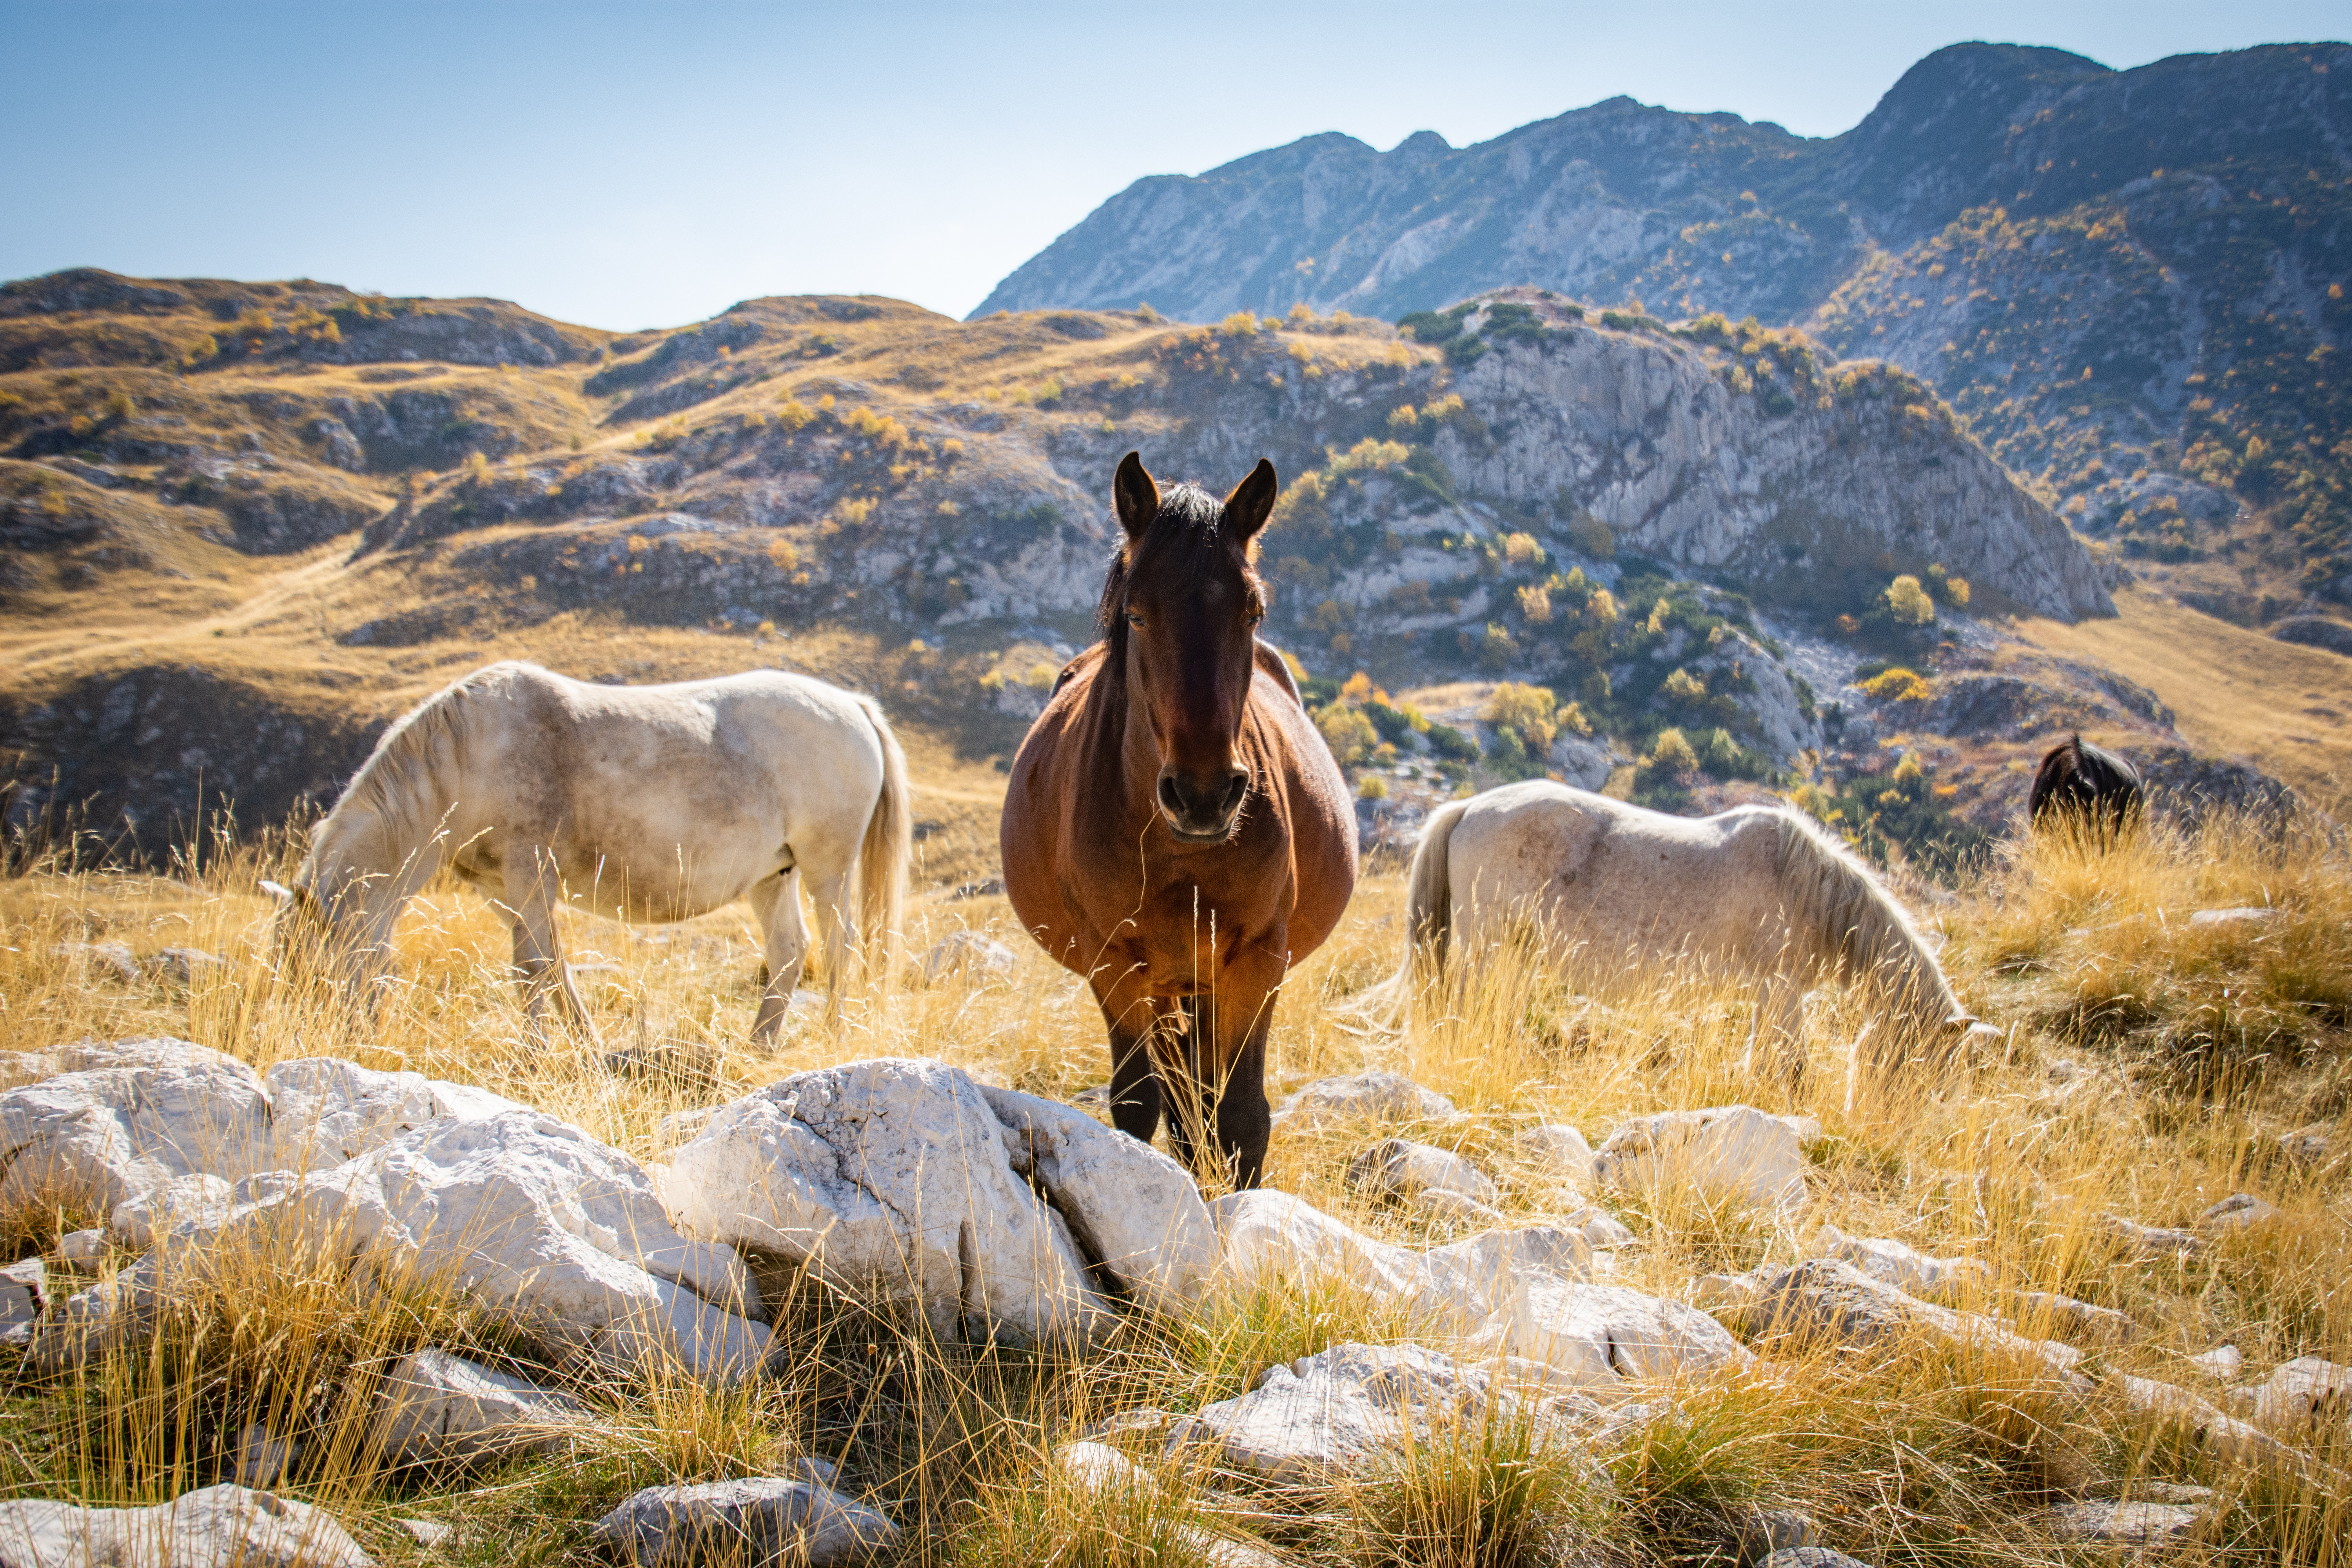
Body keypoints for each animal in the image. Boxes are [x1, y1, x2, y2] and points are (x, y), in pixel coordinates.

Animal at [269, 663, 908, 1044]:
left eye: (314, 970)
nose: (319, 1045)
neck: (471, 756)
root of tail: (852, 706)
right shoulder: (503, 890)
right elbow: (543, 967)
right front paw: (566, 1046)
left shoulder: (530, 873)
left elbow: (536, 967)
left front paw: (552, 1051)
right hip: (772, 875)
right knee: (789, 951)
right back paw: (760, 1046)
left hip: (827, 867)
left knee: (840, 947)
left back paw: (832, 1036)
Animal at [997, 454, 1364, 1189]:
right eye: (1137, 614)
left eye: (1253, 610)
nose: (1204, 795)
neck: (1179, 852)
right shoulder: (1115, 965)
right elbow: (1141, 1106)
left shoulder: (1257, 960)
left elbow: (1242, 1118)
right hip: (1166, 987)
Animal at [1374, 780, 1985, 1086]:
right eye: (1931, 1069)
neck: (1804, 887)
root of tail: (1468, 807)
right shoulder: (1781, 990)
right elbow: (1789, 1070)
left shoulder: (1772, 995)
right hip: (1487, 947)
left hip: (1516, 954)